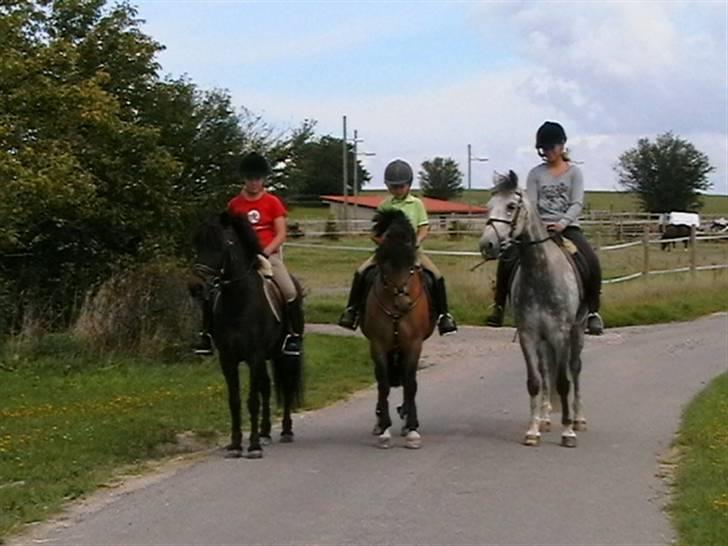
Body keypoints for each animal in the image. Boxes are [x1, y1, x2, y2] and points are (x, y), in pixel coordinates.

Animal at [192, 210, 302, 456]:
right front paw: (235, 445)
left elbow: (252, 400)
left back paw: (286, 432)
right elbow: (235, 400)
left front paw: (252, 447)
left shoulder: (254, 356)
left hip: (283, 355)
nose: (196, 287)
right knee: (266, 388)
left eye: (219, 245)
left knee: (286, 387)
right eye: (197, 244)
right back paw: (265, 433)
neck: (239, 302)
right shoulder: (228, 359)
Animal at [362, 208, 436, 446]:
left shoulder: (413, 345)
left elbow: (410, 383)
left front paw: (412, 429)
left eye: (412, 267)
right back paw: (380, 423)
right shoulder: (377, 345)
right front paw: (385, 428)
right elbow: (383, 384)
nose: (404, 304)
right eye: (383, 266)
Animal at [480, 171, 588, 446]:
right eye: (488, 206)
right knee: (546, 370)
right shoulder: (528, 335)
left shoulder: (560, 334)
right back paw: (545, 418)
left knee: (575, 369)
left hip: (577, 331)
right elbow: (534, 381)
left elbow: (563, 382)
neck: (541, 273)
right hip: (543, 340)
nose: (486, 245)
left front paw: (568, 432)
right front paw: (532, 430)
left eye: (511, 206)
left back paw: (578, 419)